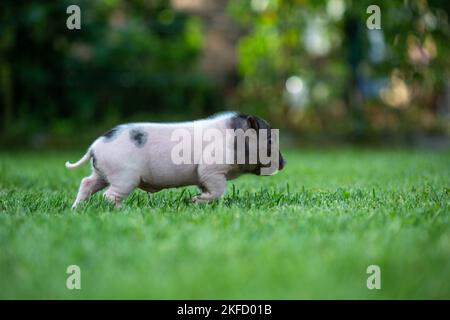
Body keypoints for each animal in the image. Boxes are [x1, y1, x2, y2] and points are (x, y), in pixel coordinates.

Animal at [65, 111, 286, 209]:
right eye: (269, 139)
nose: (284, 163)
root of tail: (94, 147)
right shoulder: (211, 169)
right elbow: (217, 190)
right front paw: (195, 200)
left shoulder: (204, 176)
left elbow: (209, 189)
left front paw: (196, 200)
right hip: (124, 176)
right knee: (109, 195)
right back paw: (121, 211)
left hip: (102, 173)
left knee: (86, 183)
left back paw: (76, 209)